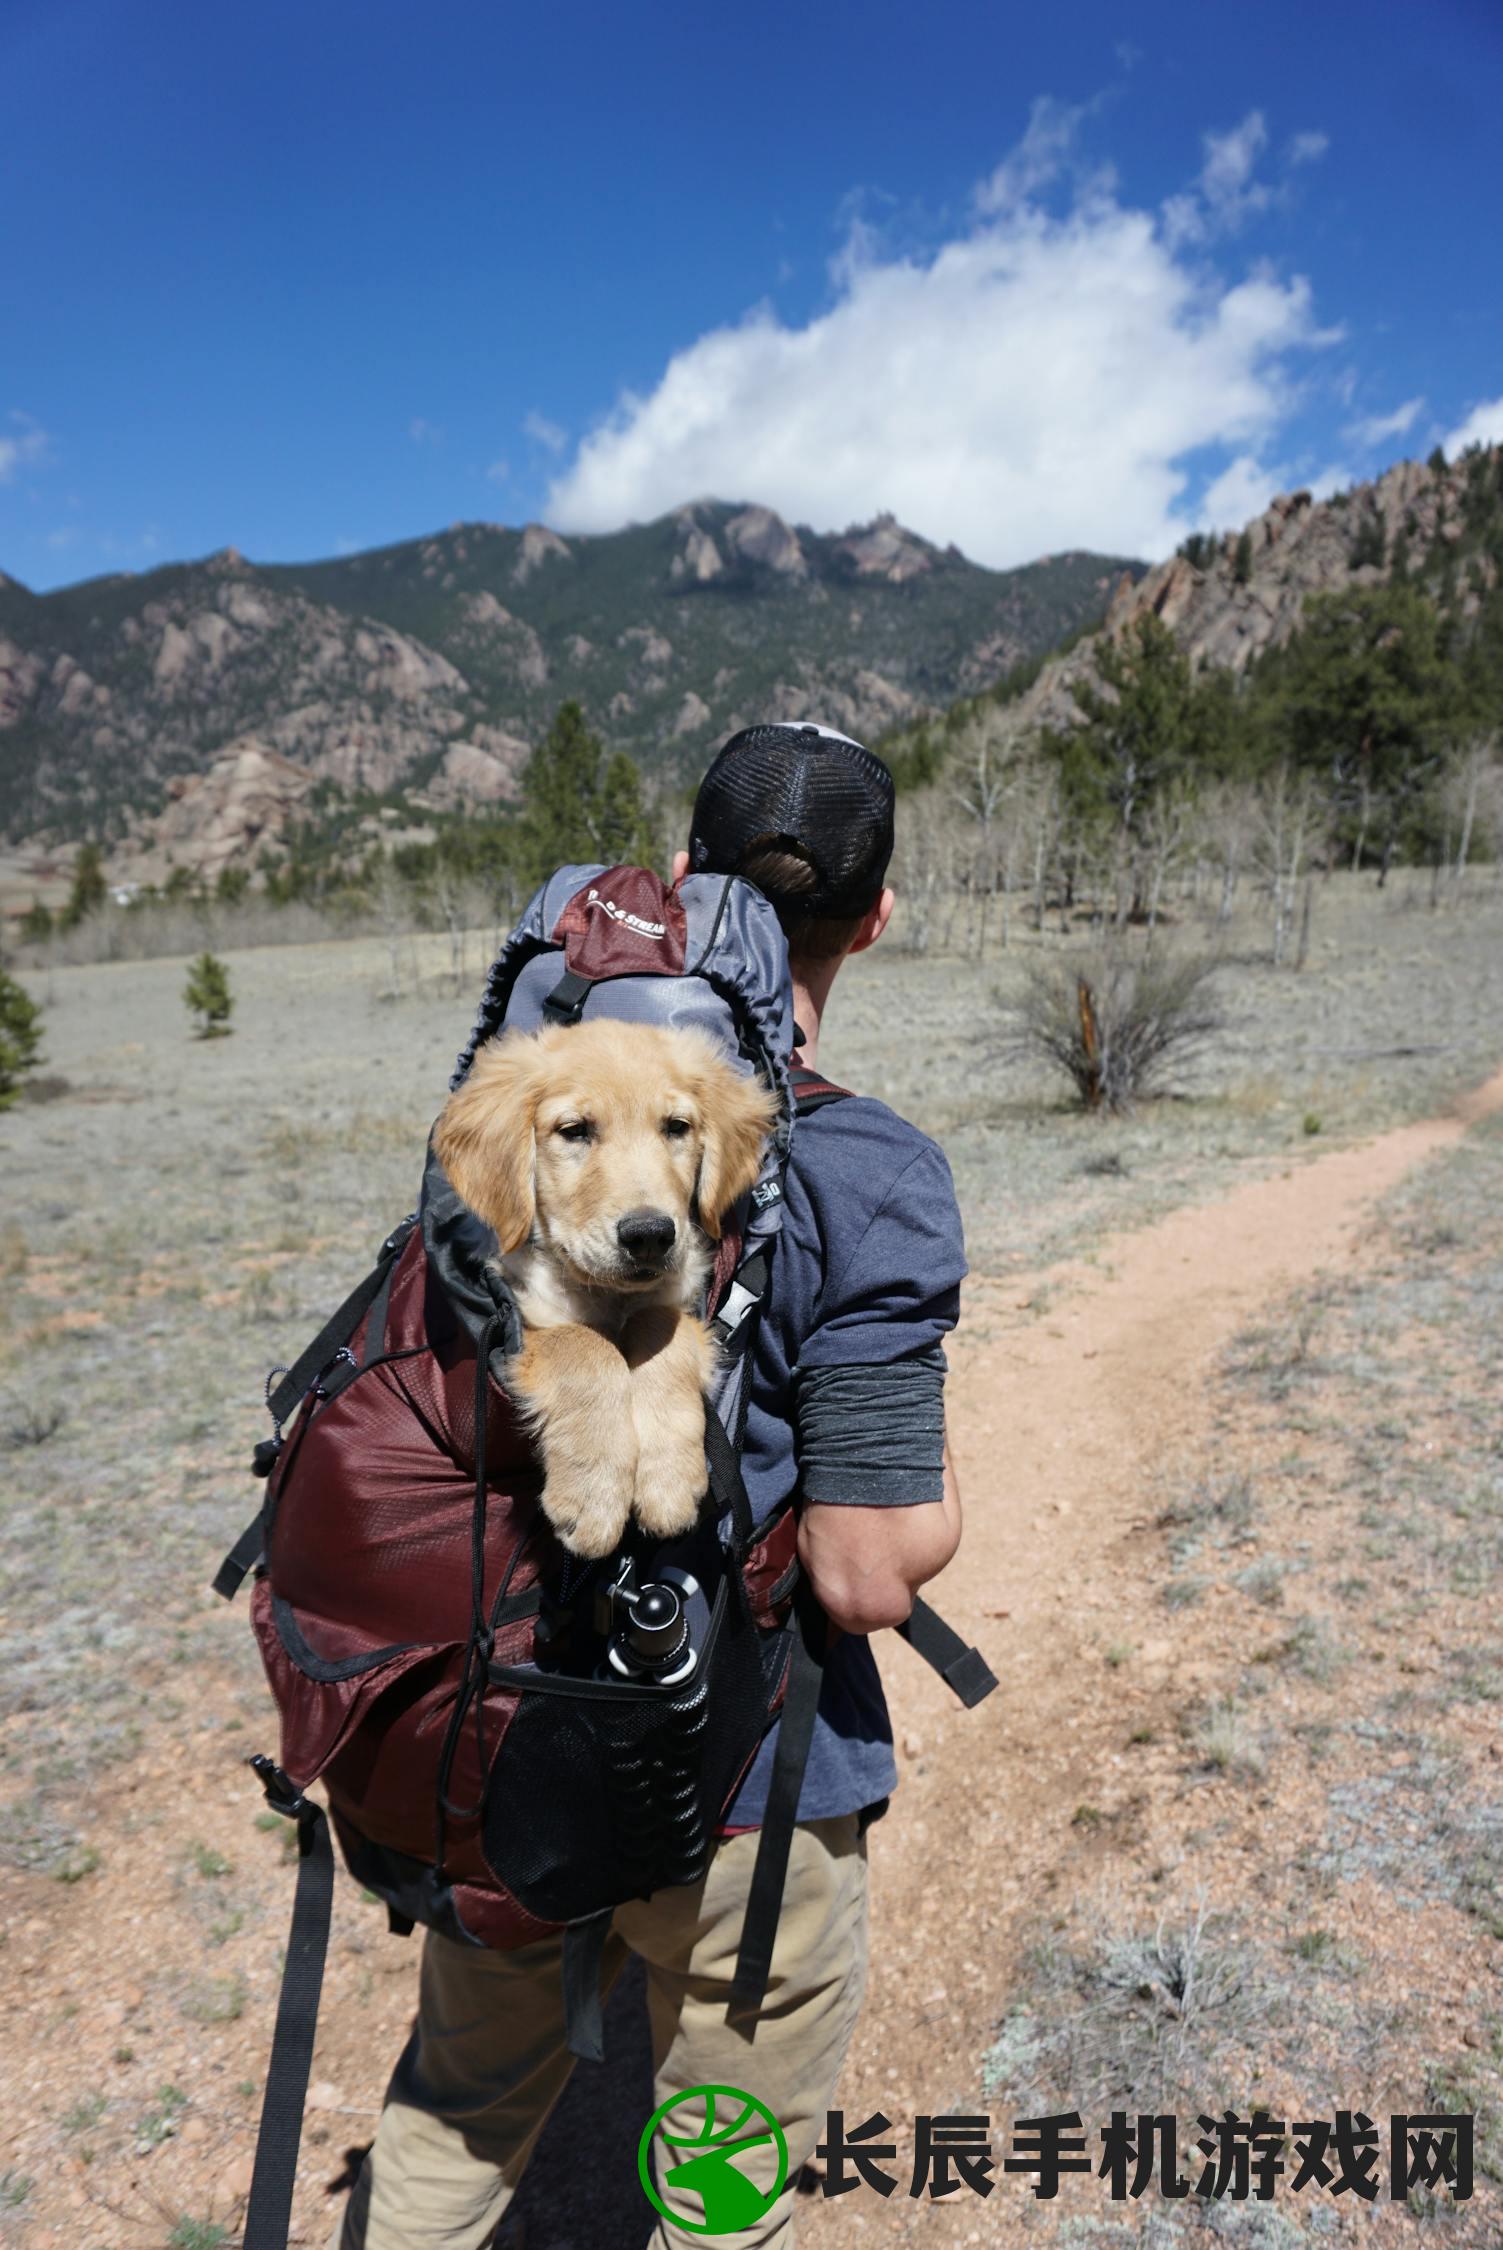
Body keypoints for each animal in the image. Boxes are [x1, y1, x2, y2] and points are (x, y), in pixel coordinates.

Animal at [427, 1026, 769, 1566]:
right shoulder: (522, 1317)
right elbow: (585, 1346)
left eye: (676, 1127)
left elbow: (659, 1329)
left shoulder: (681, 1299)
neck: (609, 1296)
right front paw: (593, 1495)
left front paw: (667, 1479)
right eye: (575, 1131)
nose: (650, 1235)